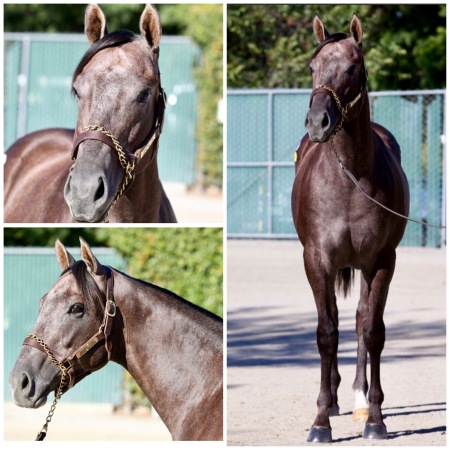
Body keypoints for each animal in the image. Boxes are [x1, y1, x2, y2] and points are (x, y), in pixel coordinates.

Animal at [292, 14, 412, 442]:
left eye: (352, 67)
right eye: (312, 67)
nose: (318, 122)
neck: (350, 178)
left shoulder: (382, 262)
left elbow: (372, 330)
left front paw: (376, 418)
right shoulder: (316, 261)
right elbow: (326, 332)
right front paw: (319, 421)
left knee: (361, 321)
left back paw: (360, 401)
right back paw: (334, 398)